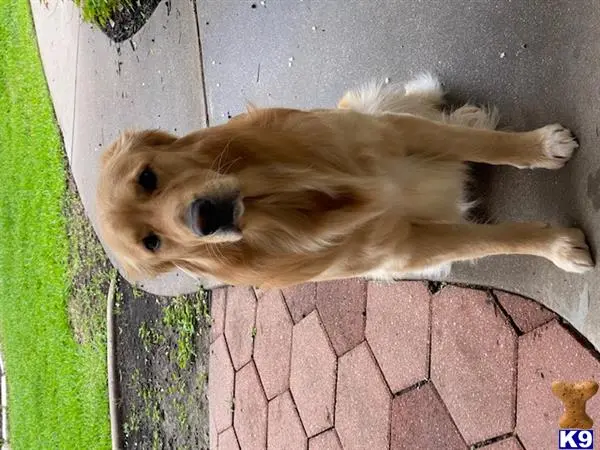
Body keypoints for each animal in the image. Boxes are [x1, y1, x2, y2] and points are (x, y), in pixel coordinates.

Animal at [96, 73, 592, 284]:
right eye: (153, 244)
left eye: (147, 177)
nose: (205, 218)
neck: (286, 198)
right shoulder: (408, 248)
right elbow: (493, 240)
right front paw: (559, 248)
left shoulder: (395, 133)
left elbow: (480, 145)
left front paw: (540, 147)